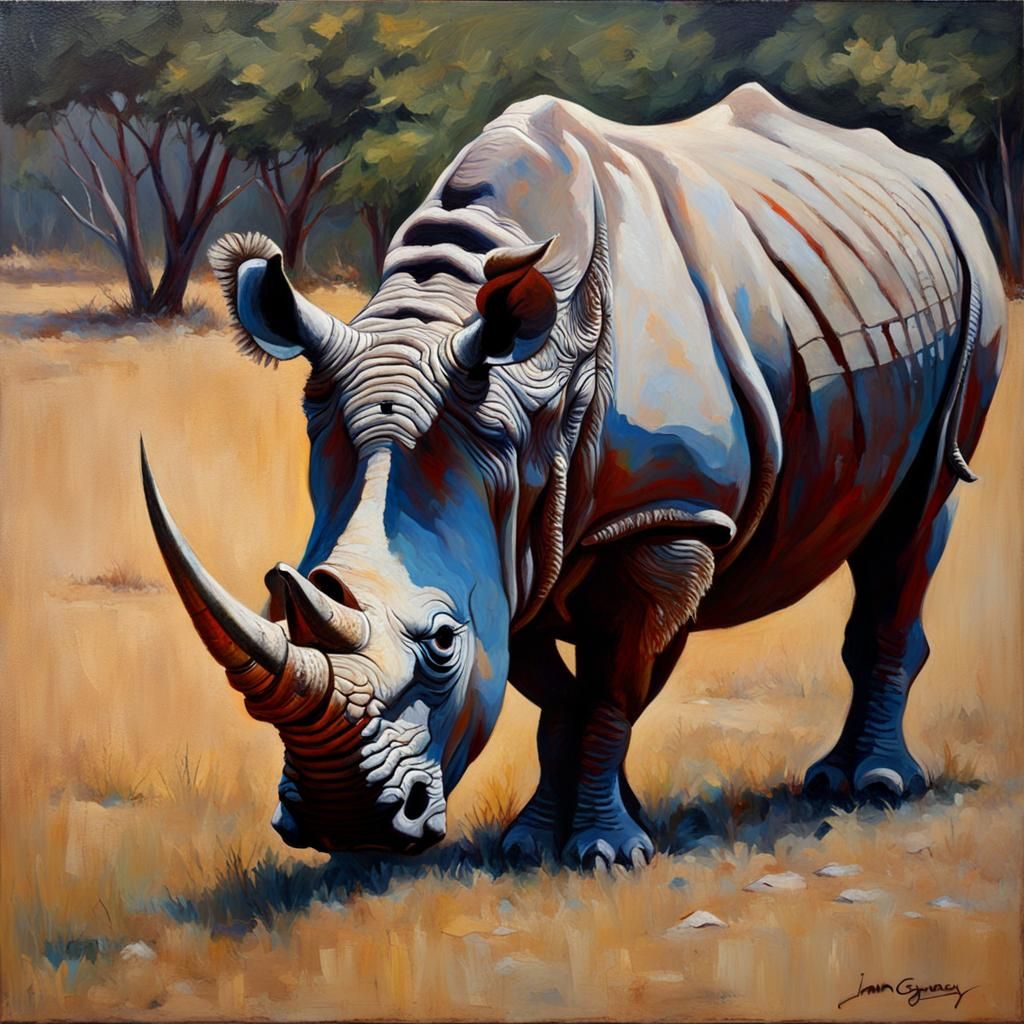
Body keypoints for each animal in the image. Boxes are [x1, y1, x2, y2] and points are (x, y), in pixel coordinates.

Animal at [143, 84, 1006, 868]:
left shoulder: (660, 513)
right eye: (275, 602)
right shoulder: (516, 538)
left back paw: (867, 787)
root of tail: (923, 173)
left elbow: (609, 687)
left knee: (915, 517)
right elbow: (565, 689)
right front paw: (541, 841)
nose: (342, 823)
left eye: (442, 644)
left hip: (976, 285)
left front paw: (603, 854)